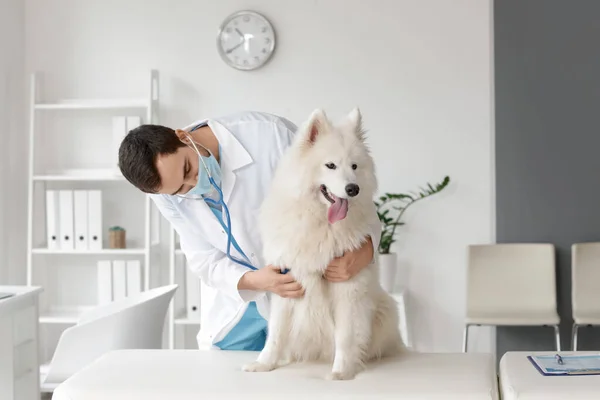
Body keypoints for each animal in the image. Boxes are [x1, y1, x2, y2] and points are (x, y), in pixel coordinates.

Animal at [241, 108, 406, 380]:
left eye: (354, 166)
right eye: (330, 165)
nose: (353, 188)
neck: (321, 223)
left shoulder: (348, 289)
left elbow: (345, 337)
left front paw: (341, 372)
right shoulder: (286, 283)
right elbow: (276, 334)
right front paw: (264, 364)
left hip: (384, 311)